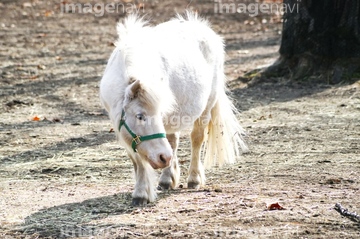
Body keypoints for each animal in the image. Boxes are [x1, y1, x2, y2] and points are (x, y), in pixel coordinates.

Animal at [101, 11, 248, 205]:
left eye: (156, 114)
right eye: (140, 116)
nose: (163, 158)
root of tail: (203, 28)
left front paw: (142, 193)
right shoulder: (121, 128)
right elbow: (137, 160)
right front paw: (141, 191)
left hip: (207, 106)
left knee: (196, 139)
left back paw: (193, 178)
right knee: (173, 141)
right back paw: (166, 179)